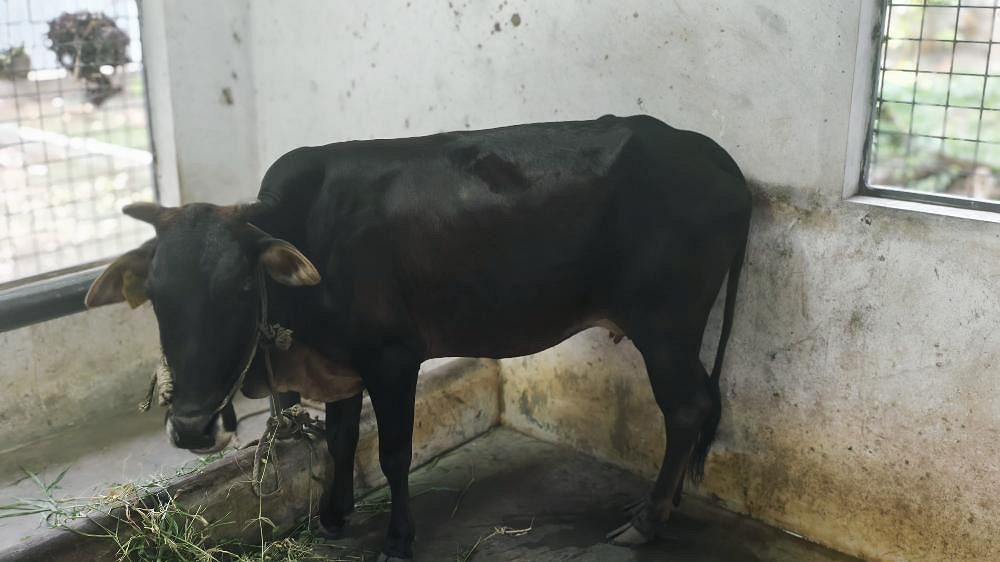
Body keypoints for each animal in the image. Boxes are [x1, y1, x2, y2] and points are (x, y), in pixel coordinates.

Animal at [85, 114, 750, 561]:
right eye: (158, 298)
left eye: (243, 290)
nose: (192, 428)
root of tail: (707, 153)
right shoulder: (343, 365)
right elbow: (341, 439)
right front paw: (332, 515)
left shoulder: (393, 359)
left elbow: (392, 453)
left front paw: (398, 540)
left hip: (666, 327)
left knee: (688, 409)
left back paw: (648, 519)